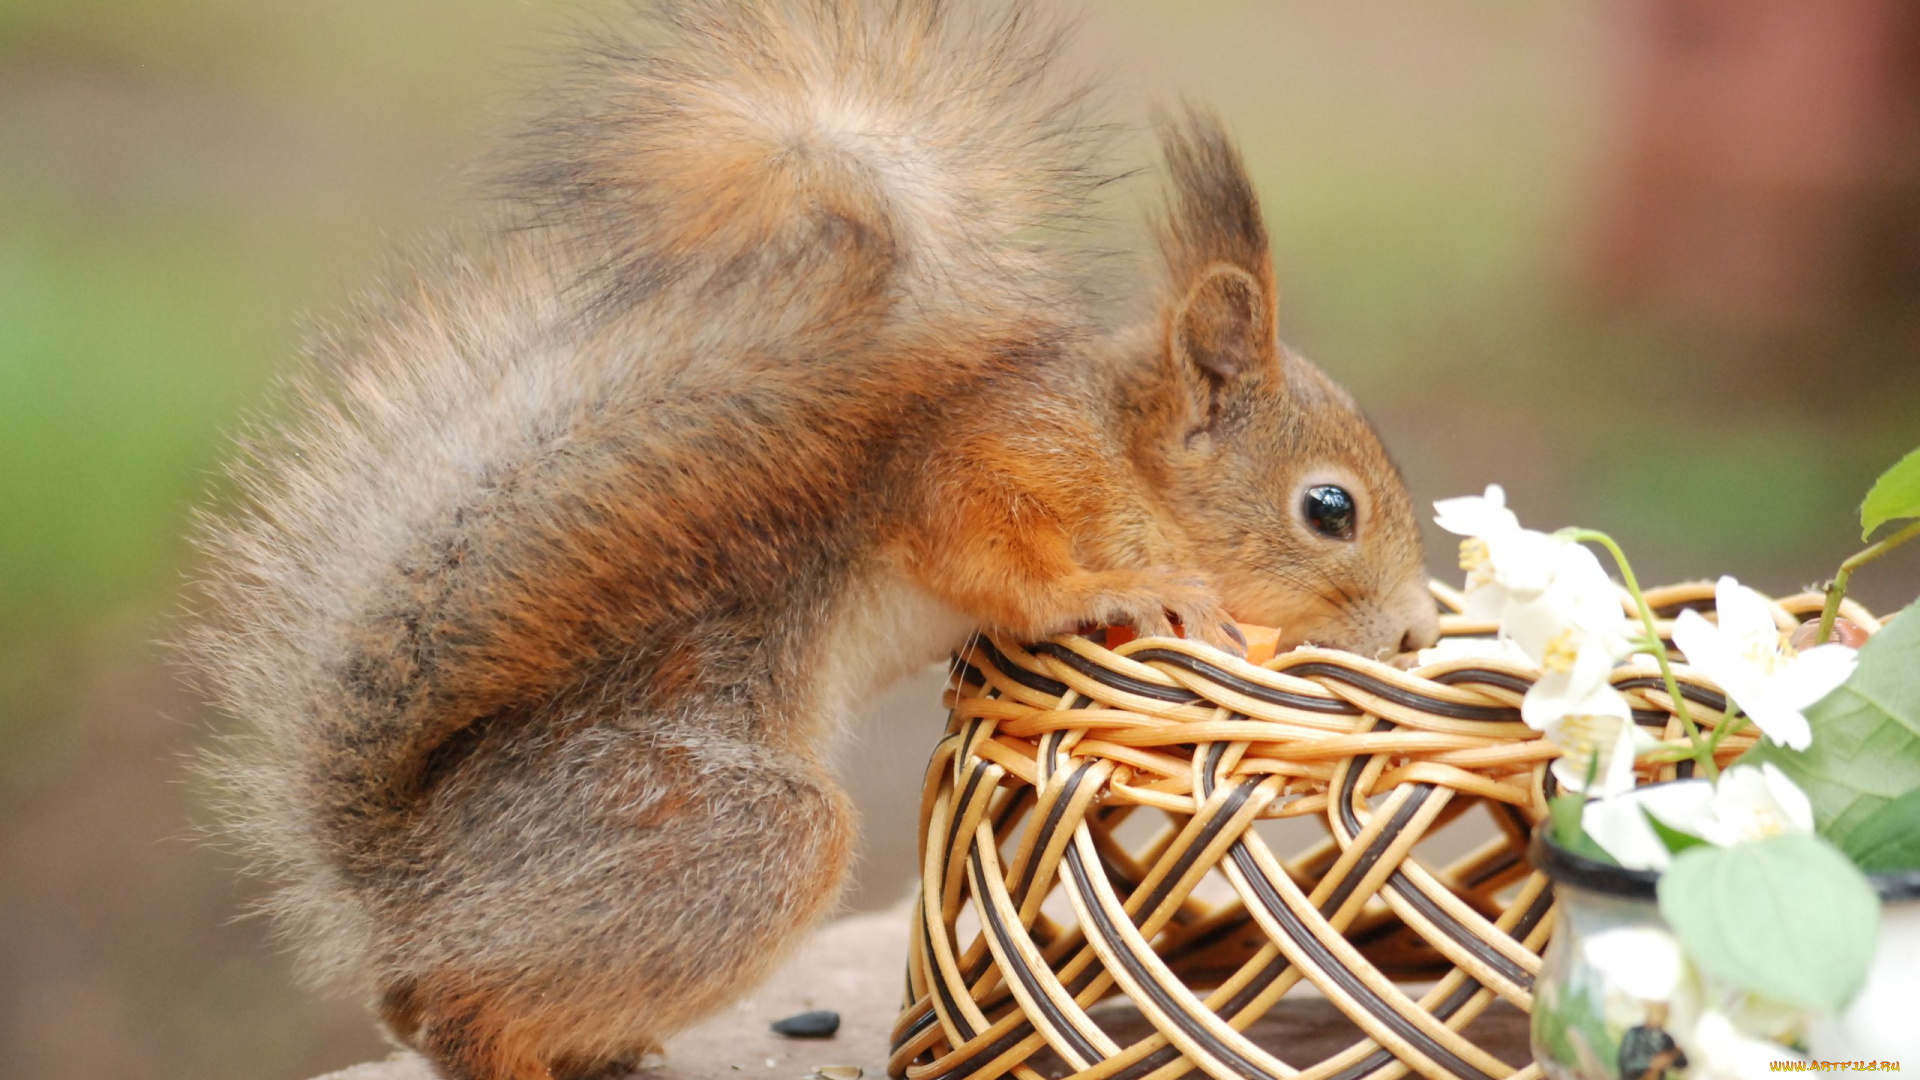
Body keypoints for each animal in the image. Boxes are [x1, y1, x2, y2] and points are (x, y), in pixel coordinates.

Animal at [183, 2, 1443, 1076]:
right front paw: (1128, 593)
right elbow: (989, 555)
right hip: (724, 834)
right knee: (455, 1009)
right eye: (1330, 509)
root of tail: (401, 882)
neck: (1124, 449)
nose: (1416, 629)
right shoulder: (991, 461)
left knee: (414, 1001)